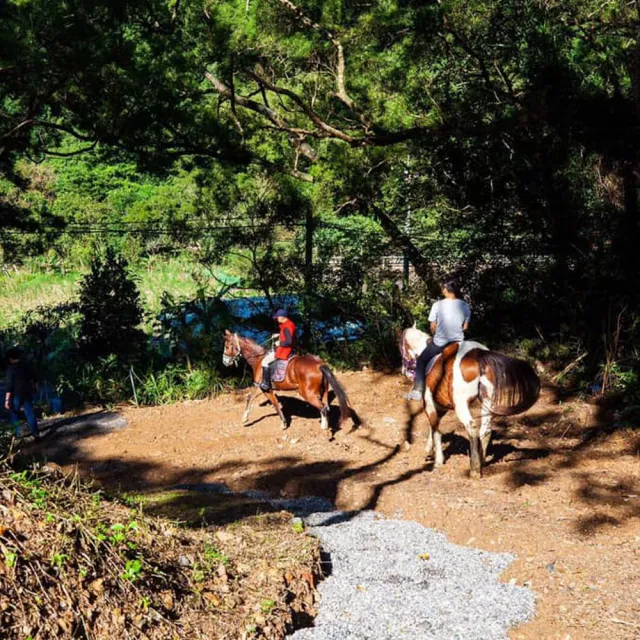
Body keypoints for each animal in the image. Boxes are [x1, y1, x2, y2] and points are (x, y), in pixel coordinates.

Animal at [224, 332, 356, 432]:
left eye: (227, 346)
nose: (225, 362)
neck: (258, 359)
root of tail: (319, 364)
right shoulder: (260, 387)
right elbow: (250, 398)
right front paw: (245, 418)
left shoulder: (267, 389)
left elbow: (276, 405)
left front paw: (283, 423)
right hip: (324, 391)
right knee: (327, 406)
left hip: (307, 393)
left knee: (323, 407)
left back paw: (324, 427)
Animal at [400, 328, 540, 478]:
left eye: (402, 348)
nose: (403, 371)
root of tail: (478, 354)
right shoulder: (442, 407)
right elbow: (434, 427)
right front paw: (429, 449)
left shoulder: (429, 404)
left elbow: (435, 429)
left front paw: (437, 460)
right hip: (487, 402)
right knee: (485, 430)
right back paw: (482, 461)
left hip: (461, 405)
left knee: (472, 427)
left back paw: (474, 469)